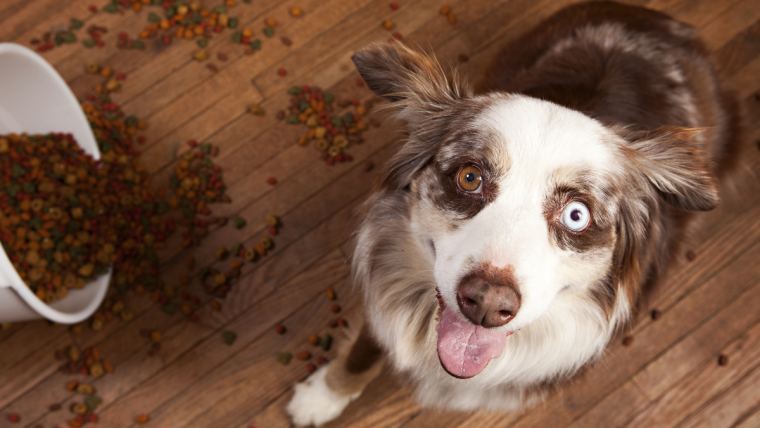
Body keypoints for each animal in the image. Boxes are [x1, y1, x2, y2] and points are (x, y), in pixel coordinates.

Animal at [284, 2, 736, 424]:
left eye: (577, 215)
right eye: (470, 177)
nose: (486, 303)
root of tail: (661, 21)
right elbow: (363, 351)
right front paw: (322, 397)